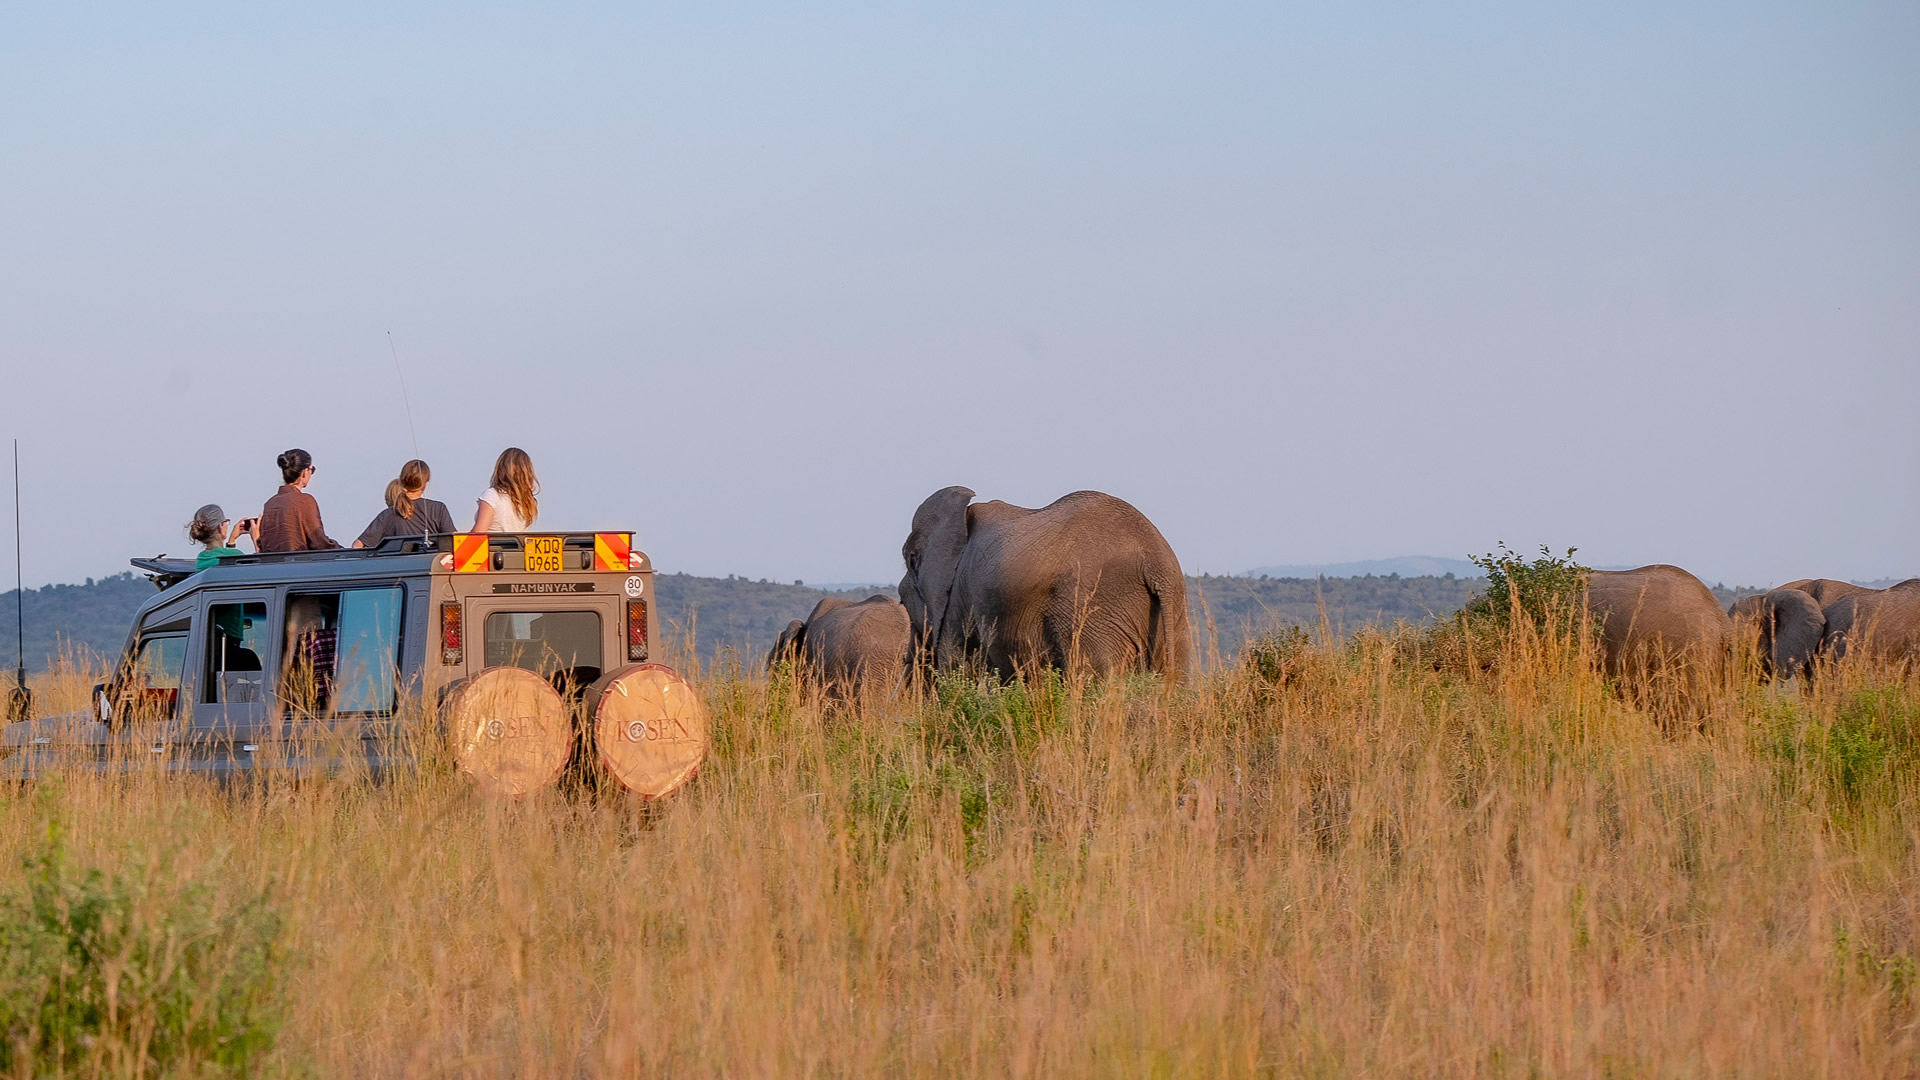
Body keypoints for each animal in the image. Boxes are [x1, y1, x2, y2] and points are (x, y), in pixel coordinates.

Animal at [894, 486, 1182, 676]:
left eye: (903, 598)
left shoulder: (957, 603)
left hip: (1090, 607)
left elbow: (957, 668)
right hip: (1171, 614)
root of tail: (1154, 557)